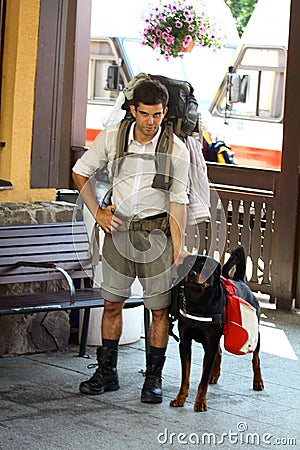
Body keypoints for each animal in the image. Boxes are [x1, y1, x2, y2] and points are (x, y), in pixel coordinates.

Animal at [170, 248, 264, 414]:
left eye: (205, 267)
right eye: (189, 264)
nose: (192, 273)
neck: (198, 303)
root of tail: (240, 281)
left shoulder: (210, 344)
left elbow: (202, 379)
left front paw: (200, 402)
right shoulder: (185, 343)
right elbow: (185, 375)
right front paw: (180, 398)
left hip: (255, 333)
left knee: (256, 358)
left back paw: (258, 381)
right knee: (219, 353)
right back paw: (214, 375)